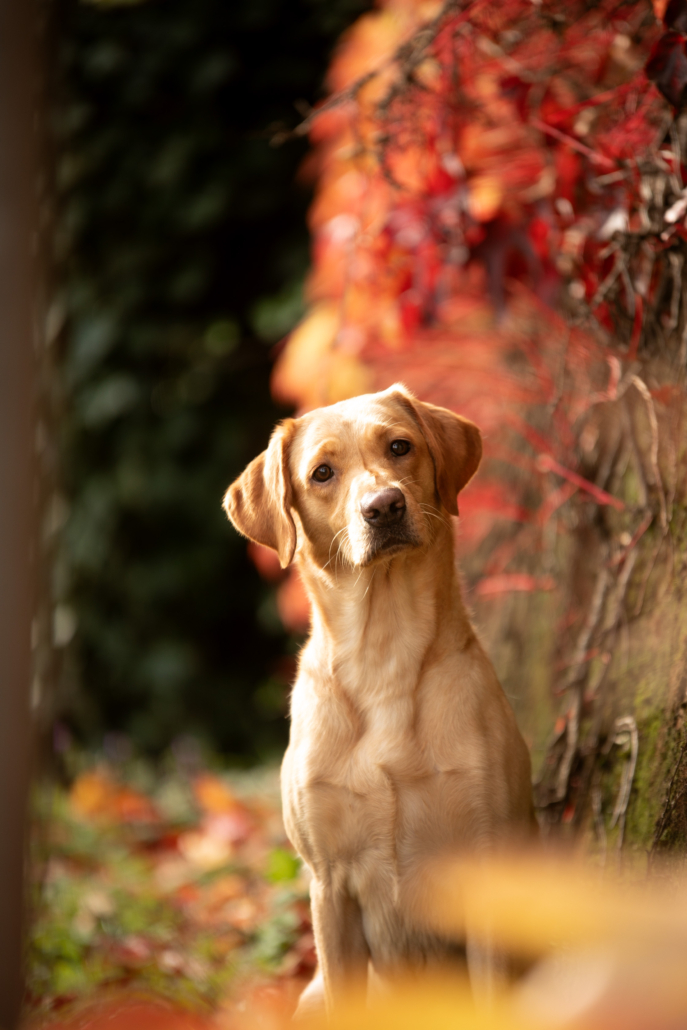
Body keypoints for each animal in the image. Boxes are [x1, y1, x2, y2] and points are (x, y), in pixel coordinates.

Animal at [223, 383, 535, 1009]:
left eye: (399, 446)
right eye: (322, 473)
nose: (384, 506)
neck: (383, 657)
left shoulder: (487, 874)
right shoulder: (329, 886)